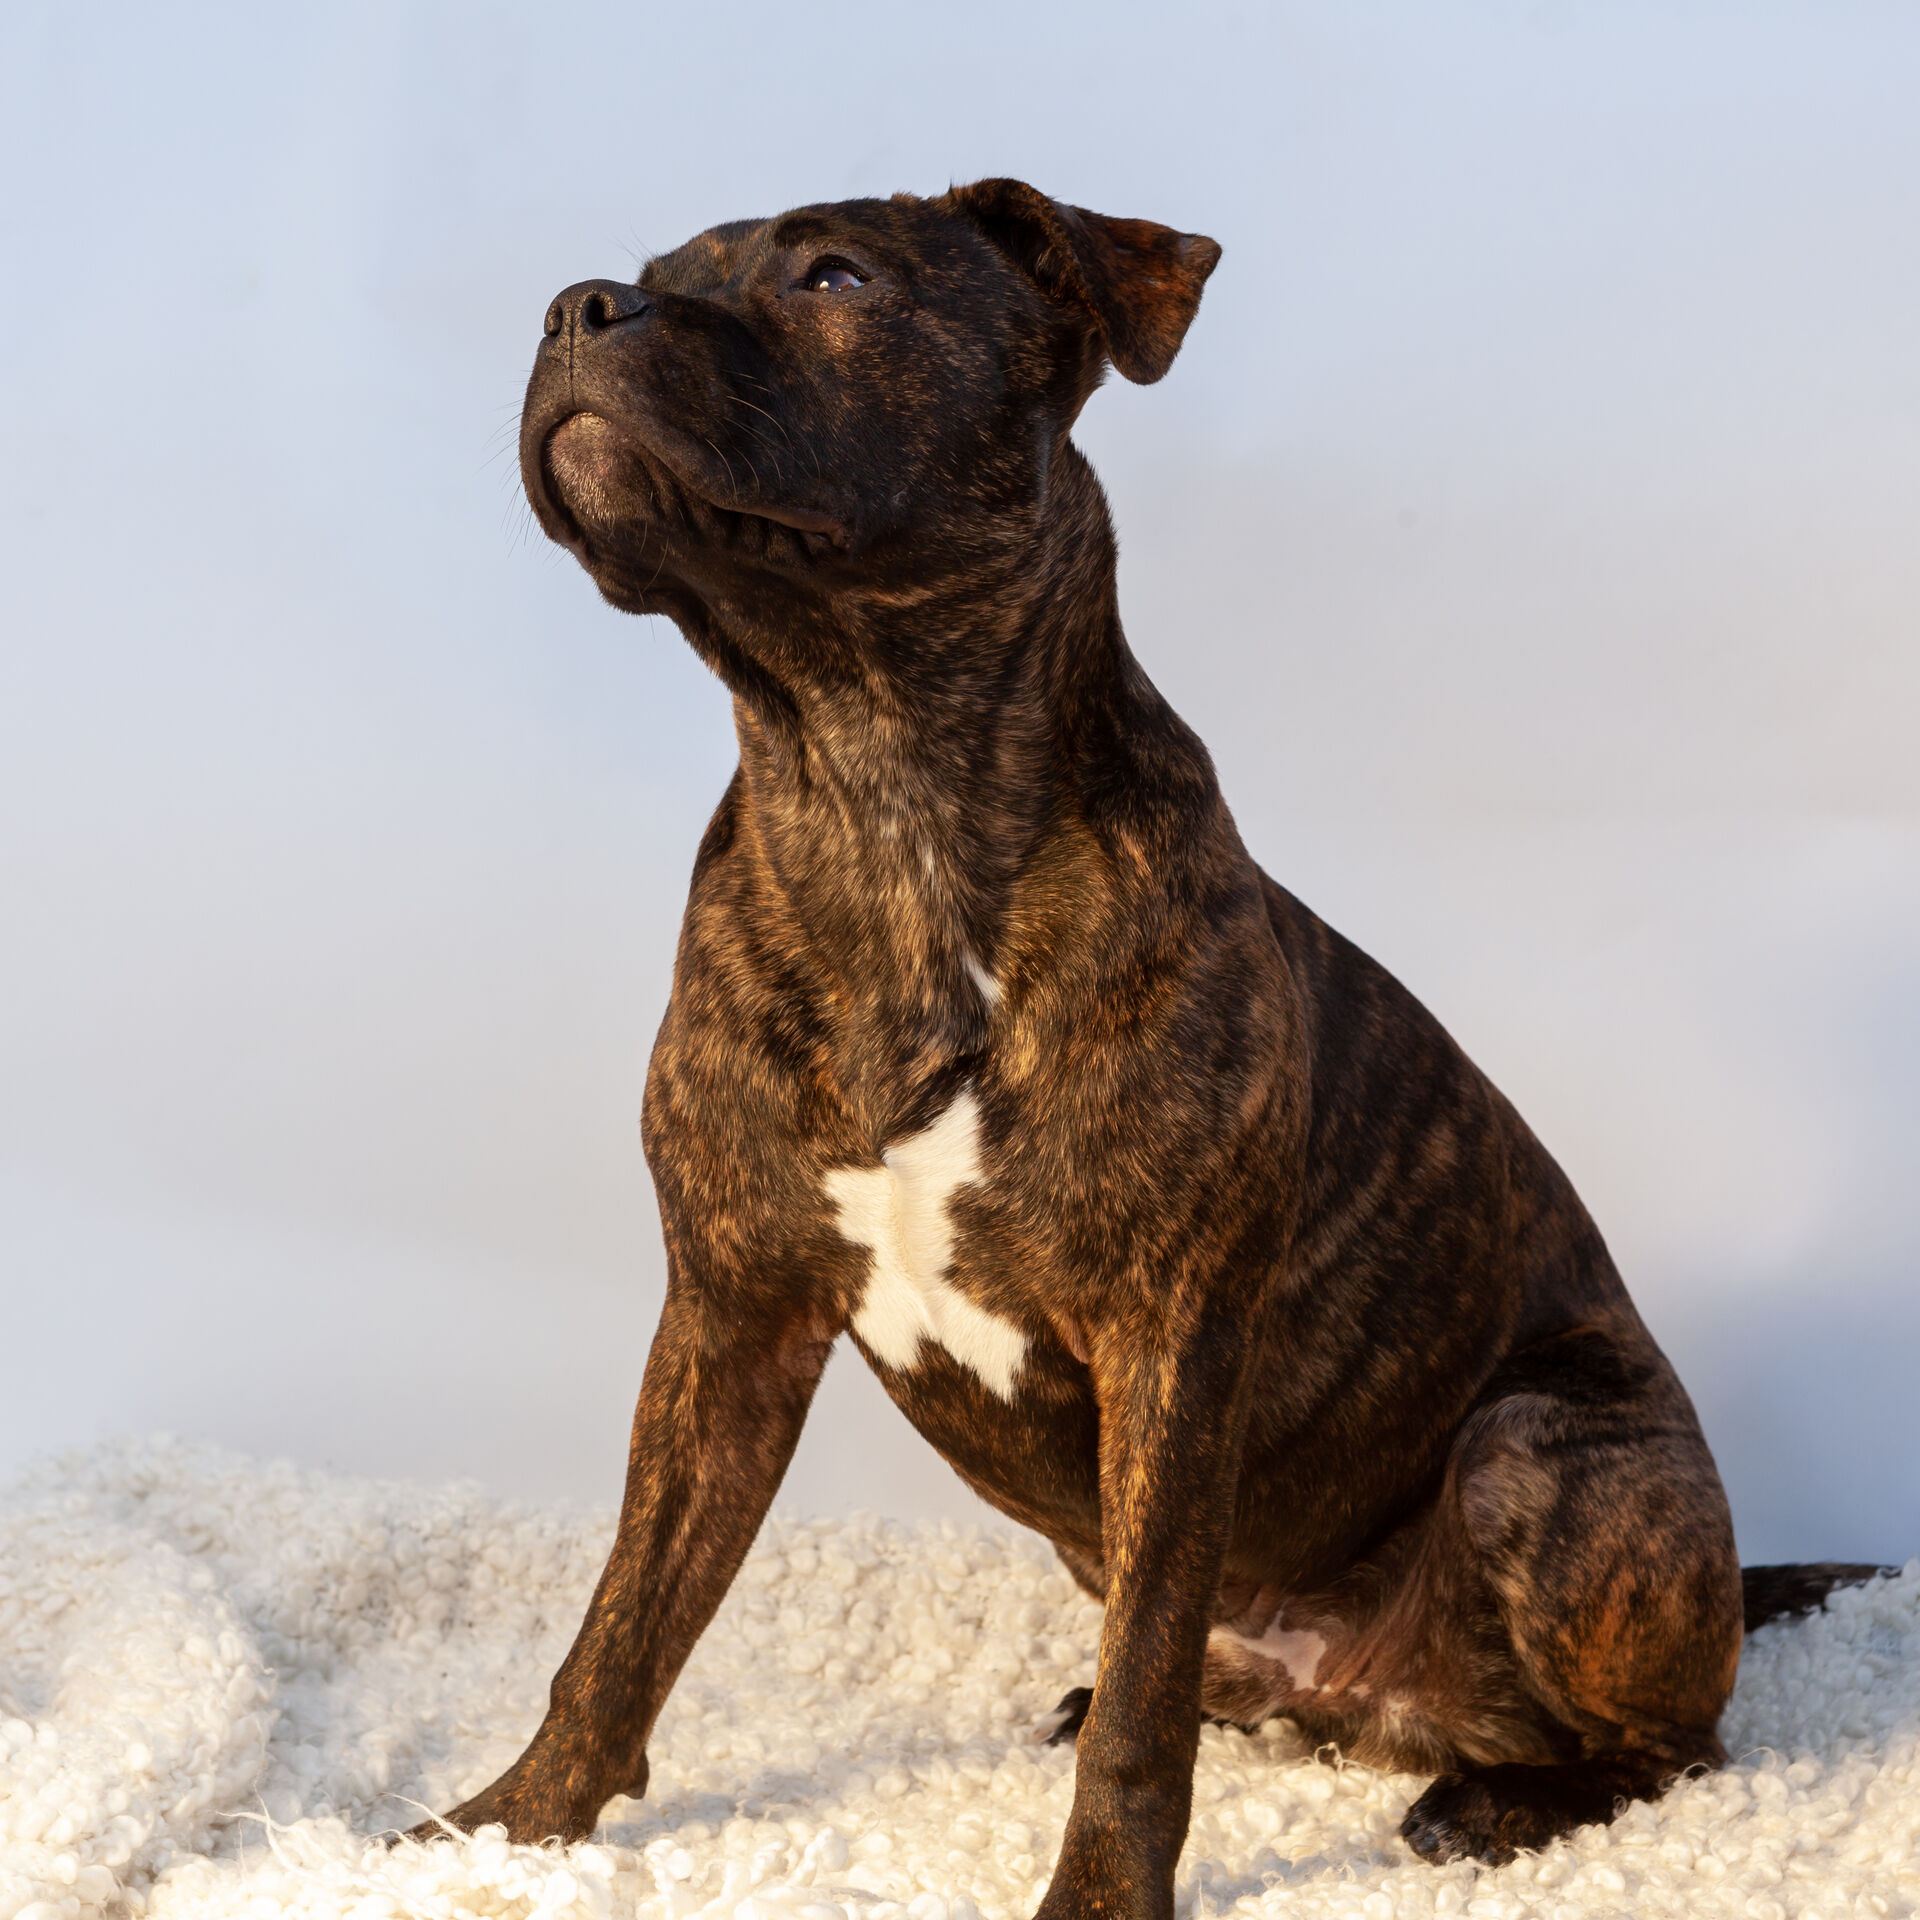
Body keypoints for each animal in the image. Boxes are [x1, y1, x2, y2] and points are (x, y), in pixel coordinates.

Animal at [418, 180, 1882, 1898]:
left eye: (835, 276)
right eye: (651, 276)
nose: (577, 307)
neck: (868, 785)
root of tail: (1368, 1701)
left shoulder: (1170, 1342)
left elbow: (1142, 1717)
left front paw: (1101, 1898)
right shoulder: (730, 1314)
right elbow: (625, 1620)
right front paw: (501, 1829)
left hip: (1546, 1454)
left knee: (1676, 1744)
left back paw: (1502, 1802)